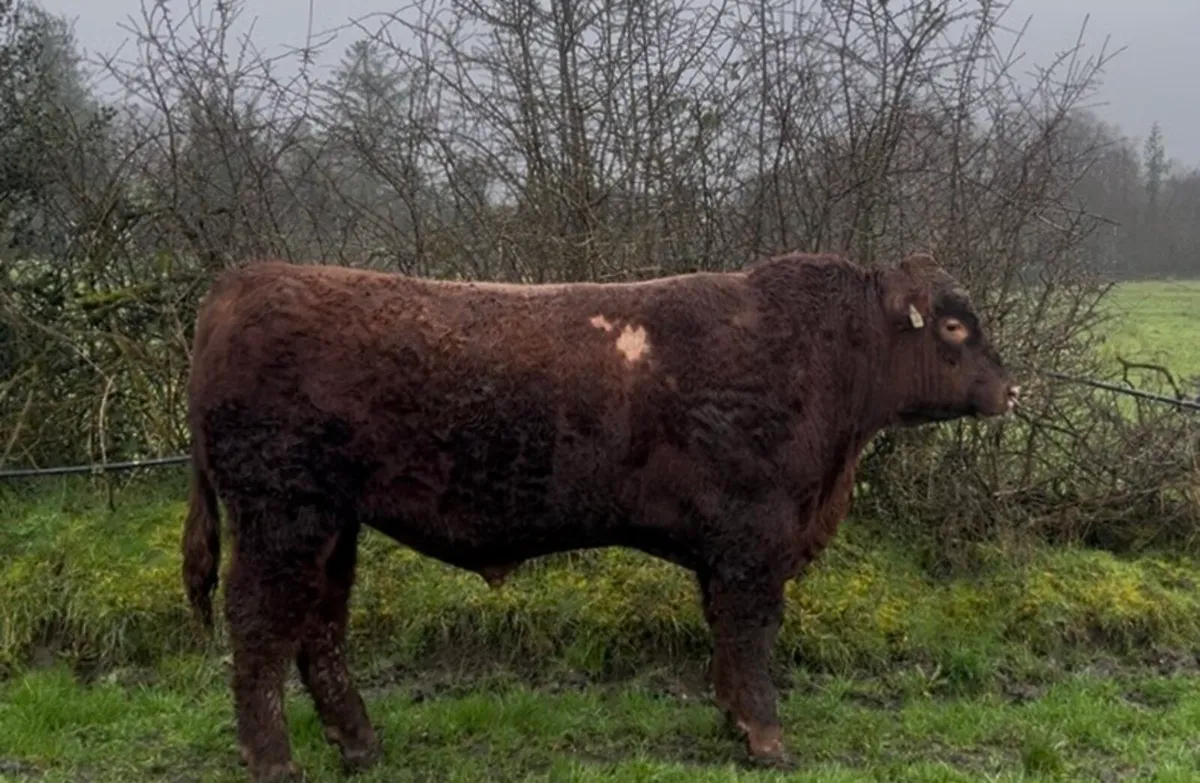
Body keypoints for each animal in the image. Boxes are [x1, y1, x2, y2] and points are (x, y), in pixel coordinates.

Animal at [181, 251, 1019, 782]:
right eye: (953, 326)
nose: (1010, 389)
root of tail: (243, 283)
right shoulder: (754, 539)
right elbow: (752, 635)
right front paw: (768, 738)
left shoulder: (727, 549)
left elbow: (724, 636)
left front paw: (732, 721)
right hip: (283, 515)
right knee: (259, 628)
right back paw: (275, 760)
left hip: (331, 524)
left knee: (319, 630)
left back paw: (361, 747)